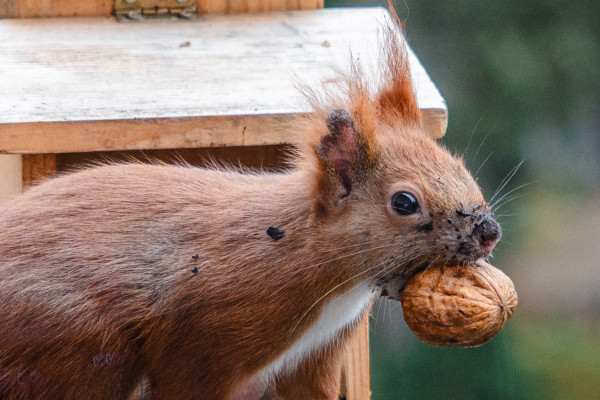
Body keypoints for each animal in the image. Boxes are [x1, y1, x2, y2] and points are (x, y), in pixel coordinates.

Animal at [0, 12, 502, 400]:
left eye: (456, 162)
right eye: (404, 201)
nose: (488, 232)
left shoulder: (316, 355)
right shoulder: (207, 336)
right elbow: (187, 380)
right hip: (80, 351)